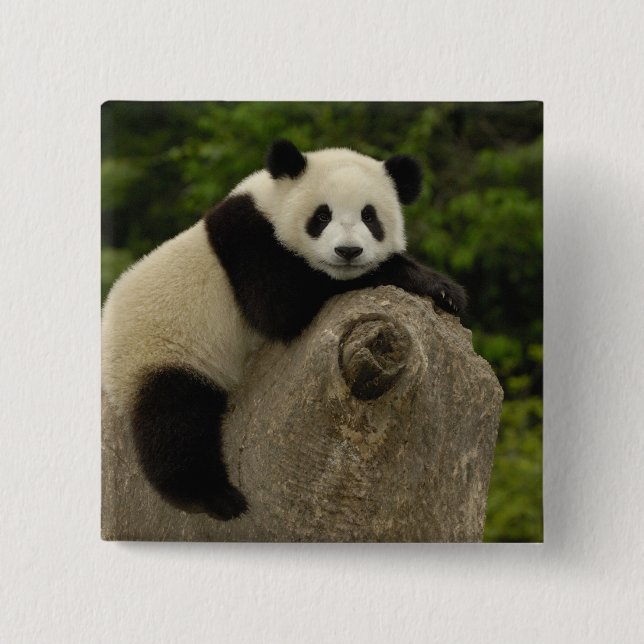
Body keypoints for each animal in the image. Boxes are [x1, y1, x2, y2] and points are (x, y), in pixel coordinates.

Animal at [102, 139, 466, 520]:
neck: (271, 203)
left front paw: (445, 293)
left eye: (370, 216)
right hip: (161, 351)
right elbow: (282, 303)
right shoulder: (250, 242)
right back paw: (212, 497)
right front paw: (432, 282)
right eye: (322, 216)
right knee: (175, 418)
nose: (348, 251)